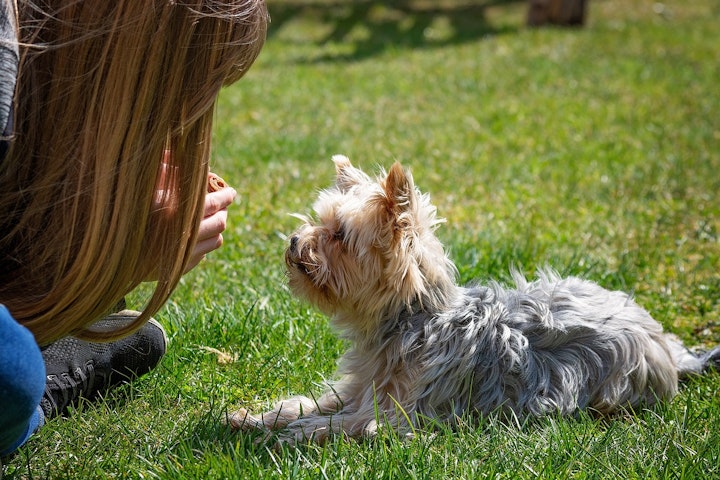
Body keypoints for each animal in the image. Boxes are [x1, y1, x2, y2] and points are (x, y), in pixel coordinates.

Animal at [231, 156, 720, 444]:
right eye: (319, 222)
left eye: (339, 236)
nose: (295, 241)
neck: (411, 320)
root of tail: (666, 345)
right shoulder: (359, 388)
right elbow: (317, 403)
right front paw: (257, 417)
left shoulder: (400, 416)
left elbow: (344, 423)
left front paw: (290, 434)